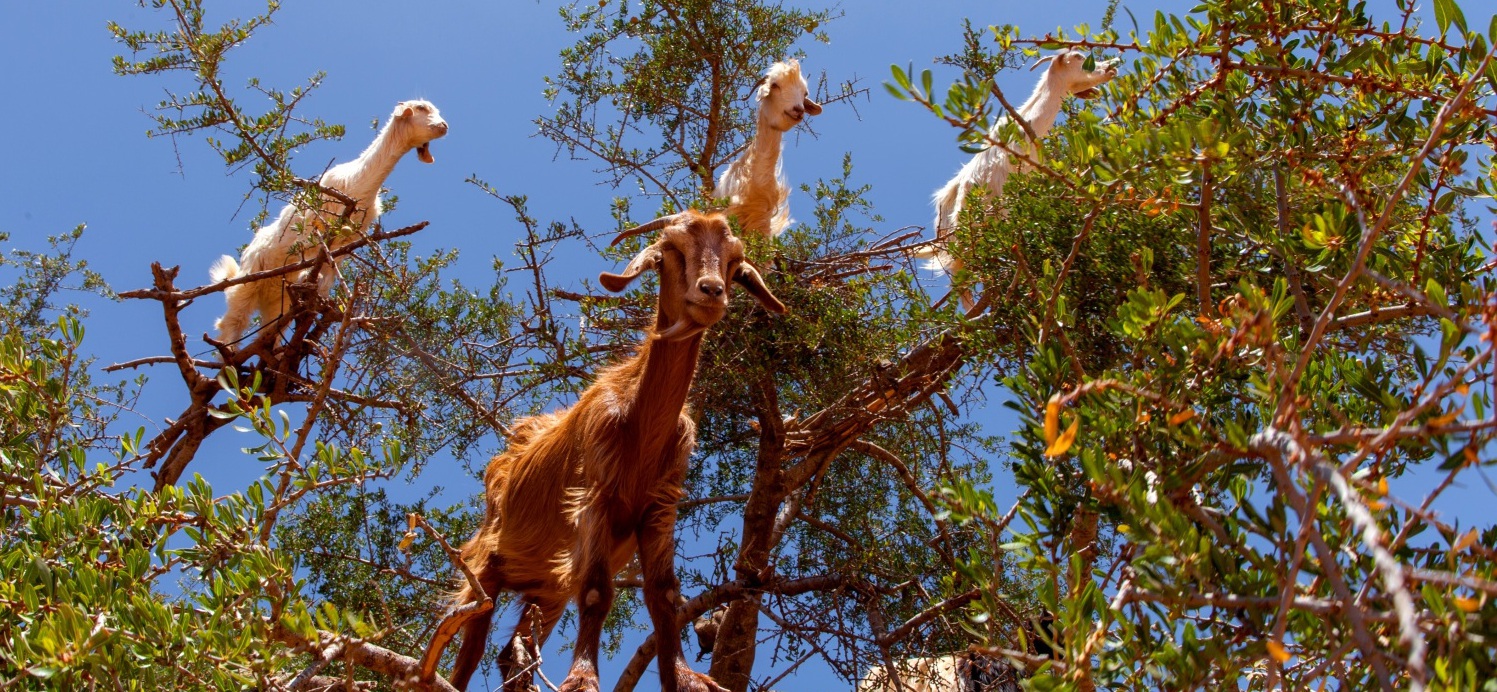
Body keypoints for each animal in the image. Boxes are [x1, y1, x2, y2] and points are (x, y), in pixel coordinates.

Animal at [211, 99, 446, 343]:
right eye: (421, 108)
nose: (444, 126)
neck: (358, 183)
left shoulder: (344, 244)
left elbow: (328, 275)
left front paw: (320, 297)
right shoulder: (316, 226)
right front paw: (308, 277)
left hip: (277, 302)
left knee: (270, 333)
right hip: (249, 278)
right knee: (232, 321)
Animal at [428, 211, 790, 692]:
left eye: (734, 262)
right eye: (671, 250)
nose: (711, 291)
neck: (638, 426)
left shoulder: (659, 507)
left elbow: (664, 593)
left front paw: (682, 676)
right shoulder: (594, 497)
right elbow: (598, 592)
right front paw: (582, 679)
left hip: (547, 584)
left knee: (512, 651)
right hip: (489, 561)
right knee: (467, 652)